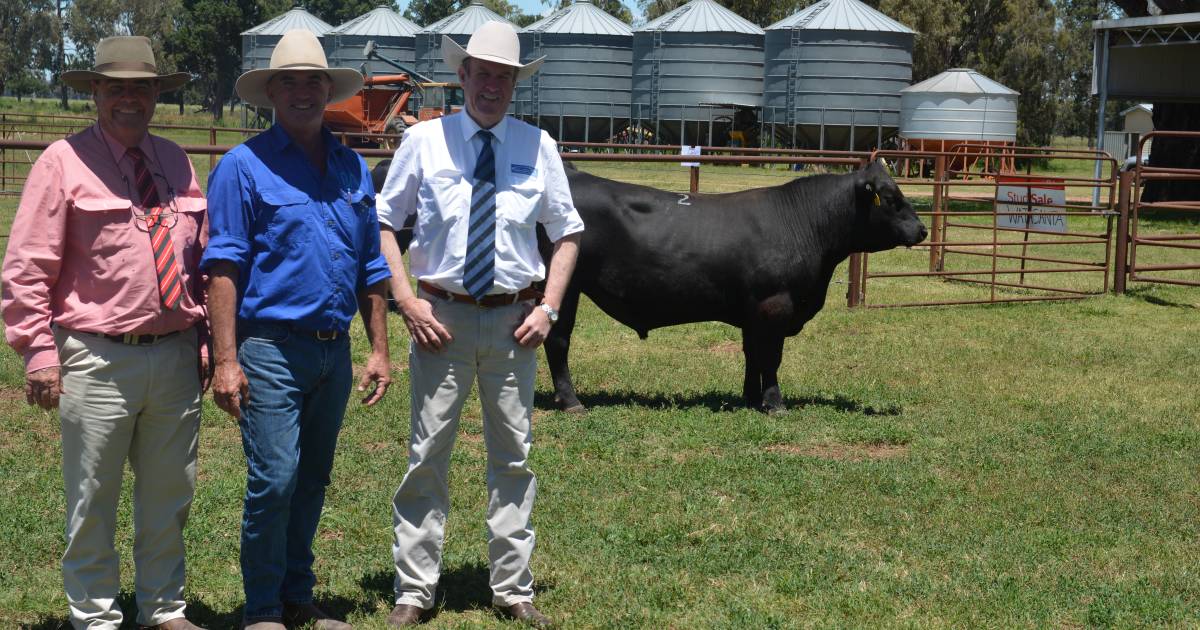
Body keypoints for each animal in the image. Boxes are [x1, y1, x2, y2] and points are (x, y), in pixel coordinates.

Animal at [372, 159, 926, 410]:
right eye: (894, 199)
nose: (922, 230)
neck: (806, 225)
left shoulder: (754, 314)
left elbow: (752, 356)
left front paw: (748, 399)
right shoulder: (774, 308)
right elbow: (770, 360)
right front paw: (773, 403)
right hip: (563, 287)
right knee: (558, 340)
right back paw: (572, 402)